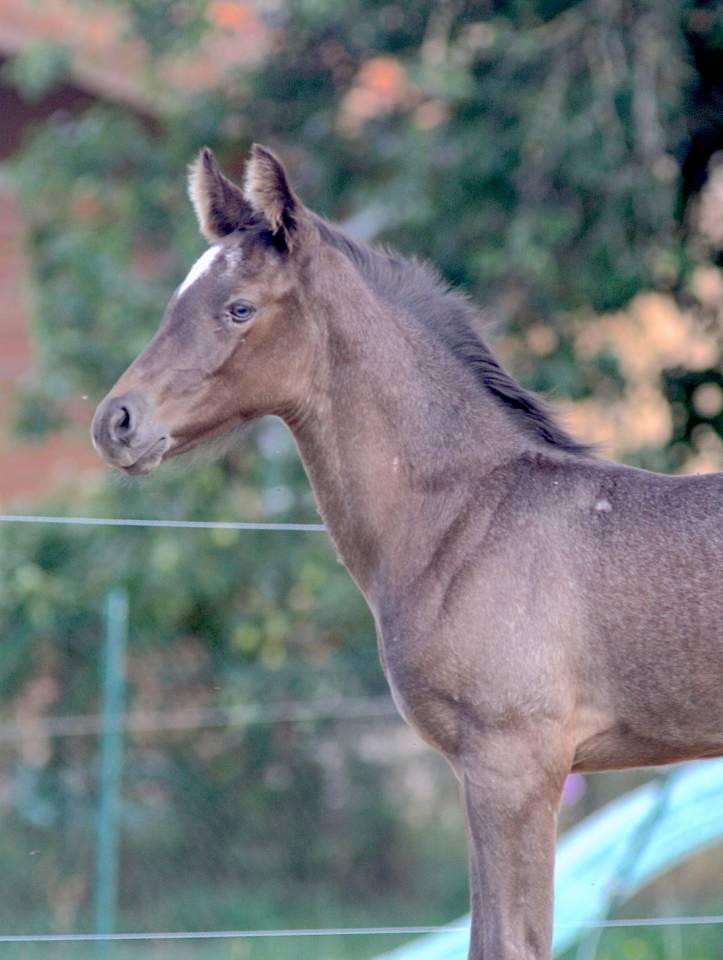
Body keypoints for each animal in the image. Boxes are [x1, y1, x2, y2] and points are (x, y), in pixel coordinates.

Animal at [91, 143, 723, 959]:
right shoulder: (483, 771)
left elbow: (511, 941)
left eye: (239, 308)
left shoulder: (515, 764)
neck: (465, 517)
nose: (117, 422)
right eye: (178, 297)